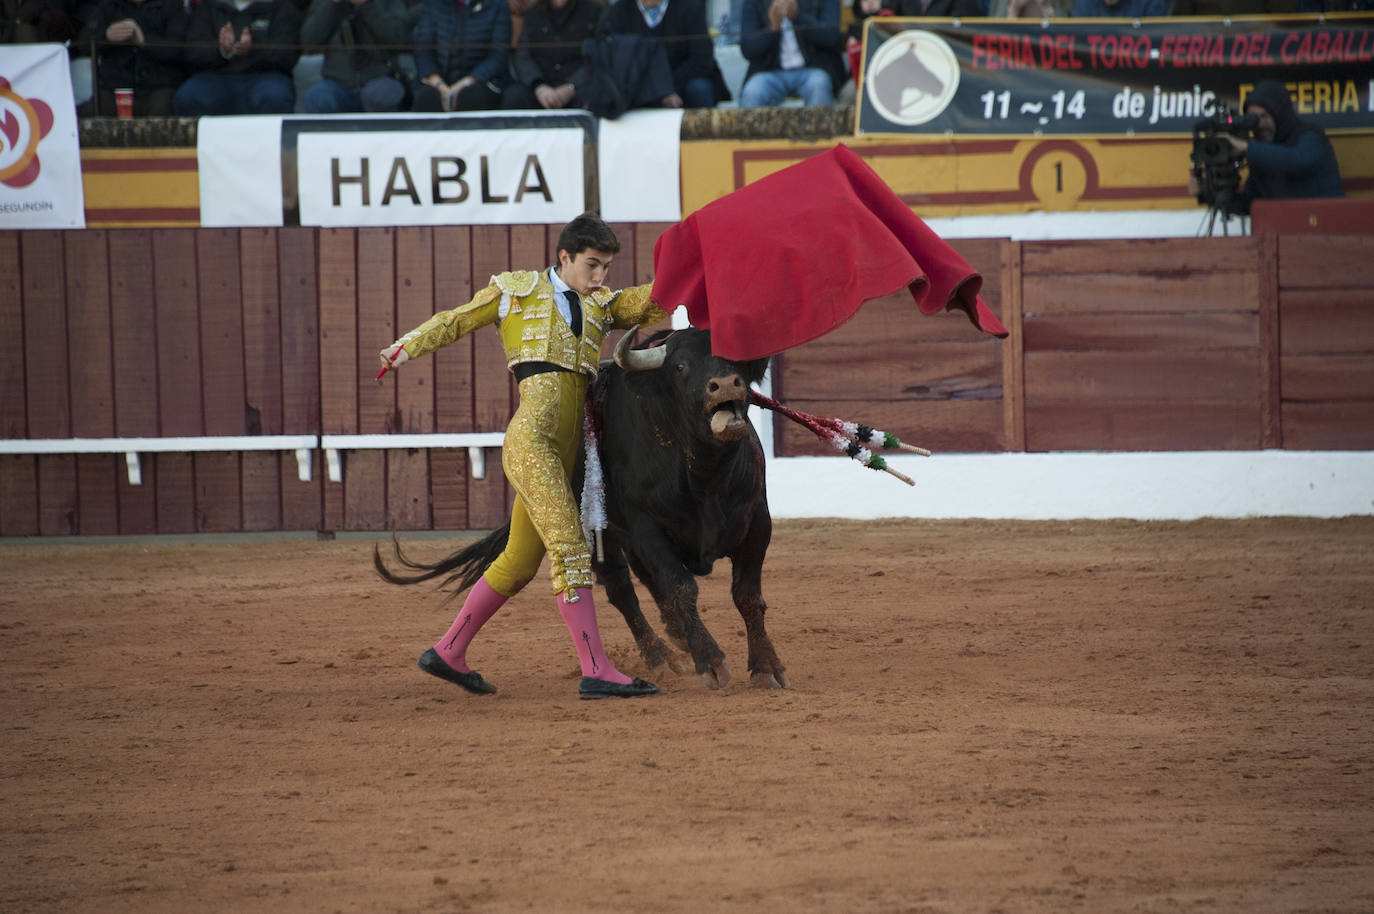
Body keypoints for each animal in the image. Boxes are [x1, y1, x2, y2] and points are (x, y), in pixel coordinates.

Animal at [376, 328, 791, 692]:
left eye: (737, 362)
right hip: (592, 528)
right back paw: (660, 658)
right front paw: (712, 662)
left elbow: (746, 596)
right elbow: (680, 587)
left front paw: (766, 667)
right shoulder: (645, 529)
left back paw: (675, 638)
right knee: (622, 589)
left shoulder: (758, 523)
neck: (704, 473)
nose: (726, 384)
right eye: (680, 366)